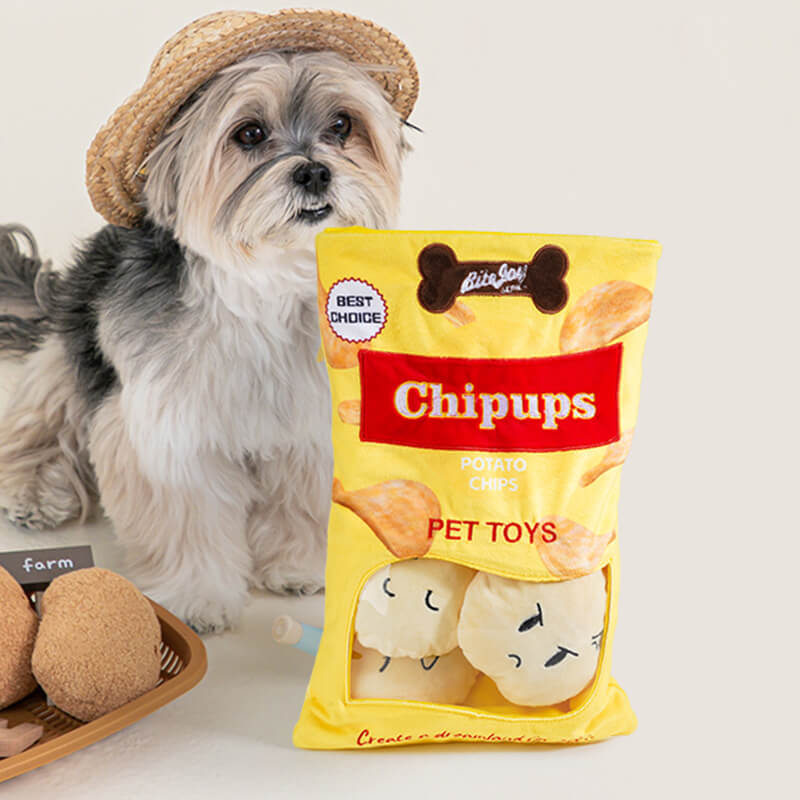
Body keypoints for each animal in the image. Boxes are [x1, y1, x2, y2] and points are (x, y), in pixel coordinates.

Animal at [0, 48, 410, 632]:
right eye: (250, 133)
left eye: (341, 125)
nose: (314, 171)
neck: (262, 284)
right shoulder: (169, 431)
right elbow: (186, 522)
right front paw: (196, 598)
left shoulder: (311, 423)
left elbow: (301, 502)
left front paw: (298, 566)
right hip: (69, 357)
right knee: (40, 424)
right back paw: (35, 492)